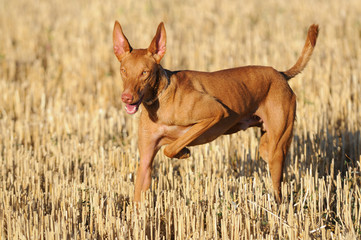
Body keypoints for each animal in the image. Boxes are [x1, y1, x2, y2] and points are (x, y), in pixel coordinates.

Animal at [112, 22, 318, 202]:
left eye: (145, 72)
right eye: (123, 70)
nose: (126, 98)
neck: (160, 99)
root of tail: (281, 74)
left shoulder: (216, 113)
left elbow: (171, 148)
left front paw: (183, 152)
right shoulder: (146, 162)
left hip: (277, 149)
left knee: (279, 192)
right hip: (266, 147)